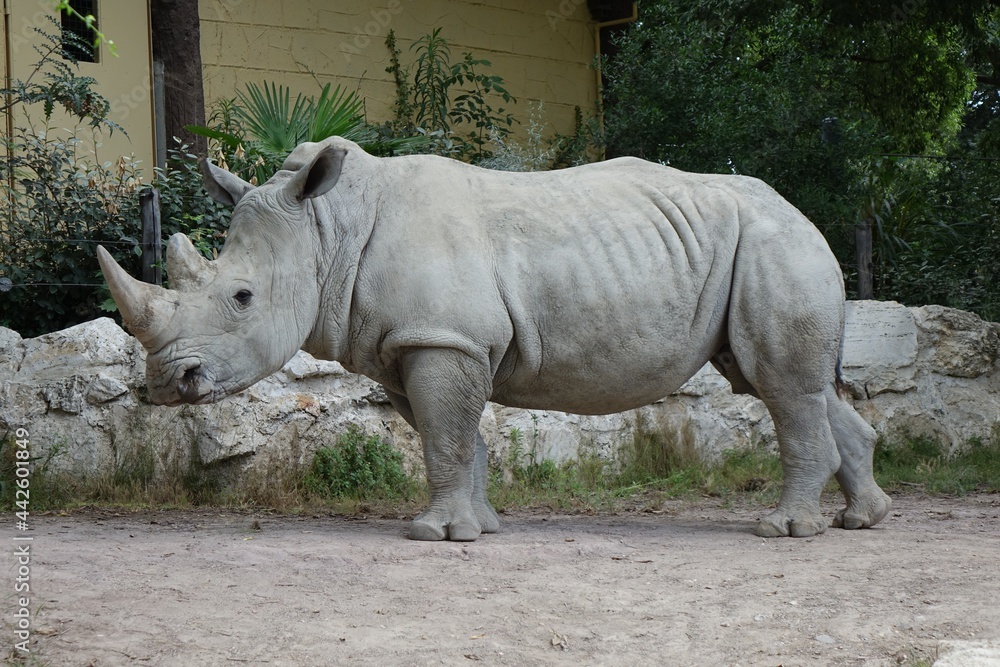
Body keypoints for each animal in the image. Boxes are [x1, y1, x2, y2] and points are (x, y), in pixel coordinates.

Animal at [97, 136, 891, 541]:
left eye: (241, 297)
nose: (167, 384)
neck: (326, 231)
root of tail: (805, 213)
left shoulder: (443, 338)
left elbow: (445, 434)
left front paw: (434, 536)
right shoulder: (414, 342)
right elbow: (451, 436)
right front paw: (479, 525)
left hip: (775, 245)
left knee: (780, 384)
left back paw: (783, 530)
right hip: (758, 248)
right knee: (781, 382)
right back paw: (862, 520)